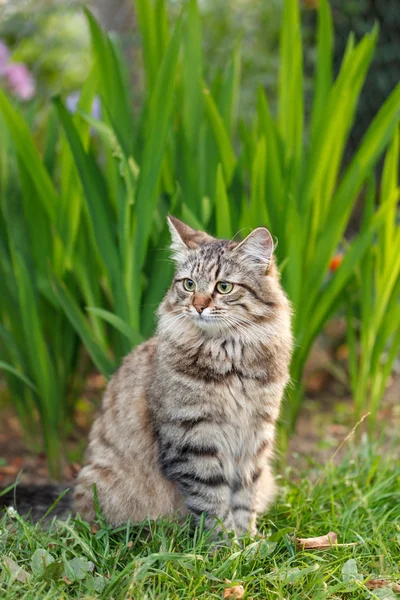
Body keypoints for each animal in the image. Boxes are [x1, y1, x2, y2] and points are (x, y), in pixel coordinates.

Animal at [72, 218, 292, 536]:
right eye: (189, 284)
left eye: (223, 287)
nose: (198, 306)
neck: (229, 358)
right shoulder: (193, 438)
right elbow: (213, 502)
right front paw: (226, 544)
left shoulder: (255, 435)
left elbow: (244, 499)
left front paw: (248, 541)